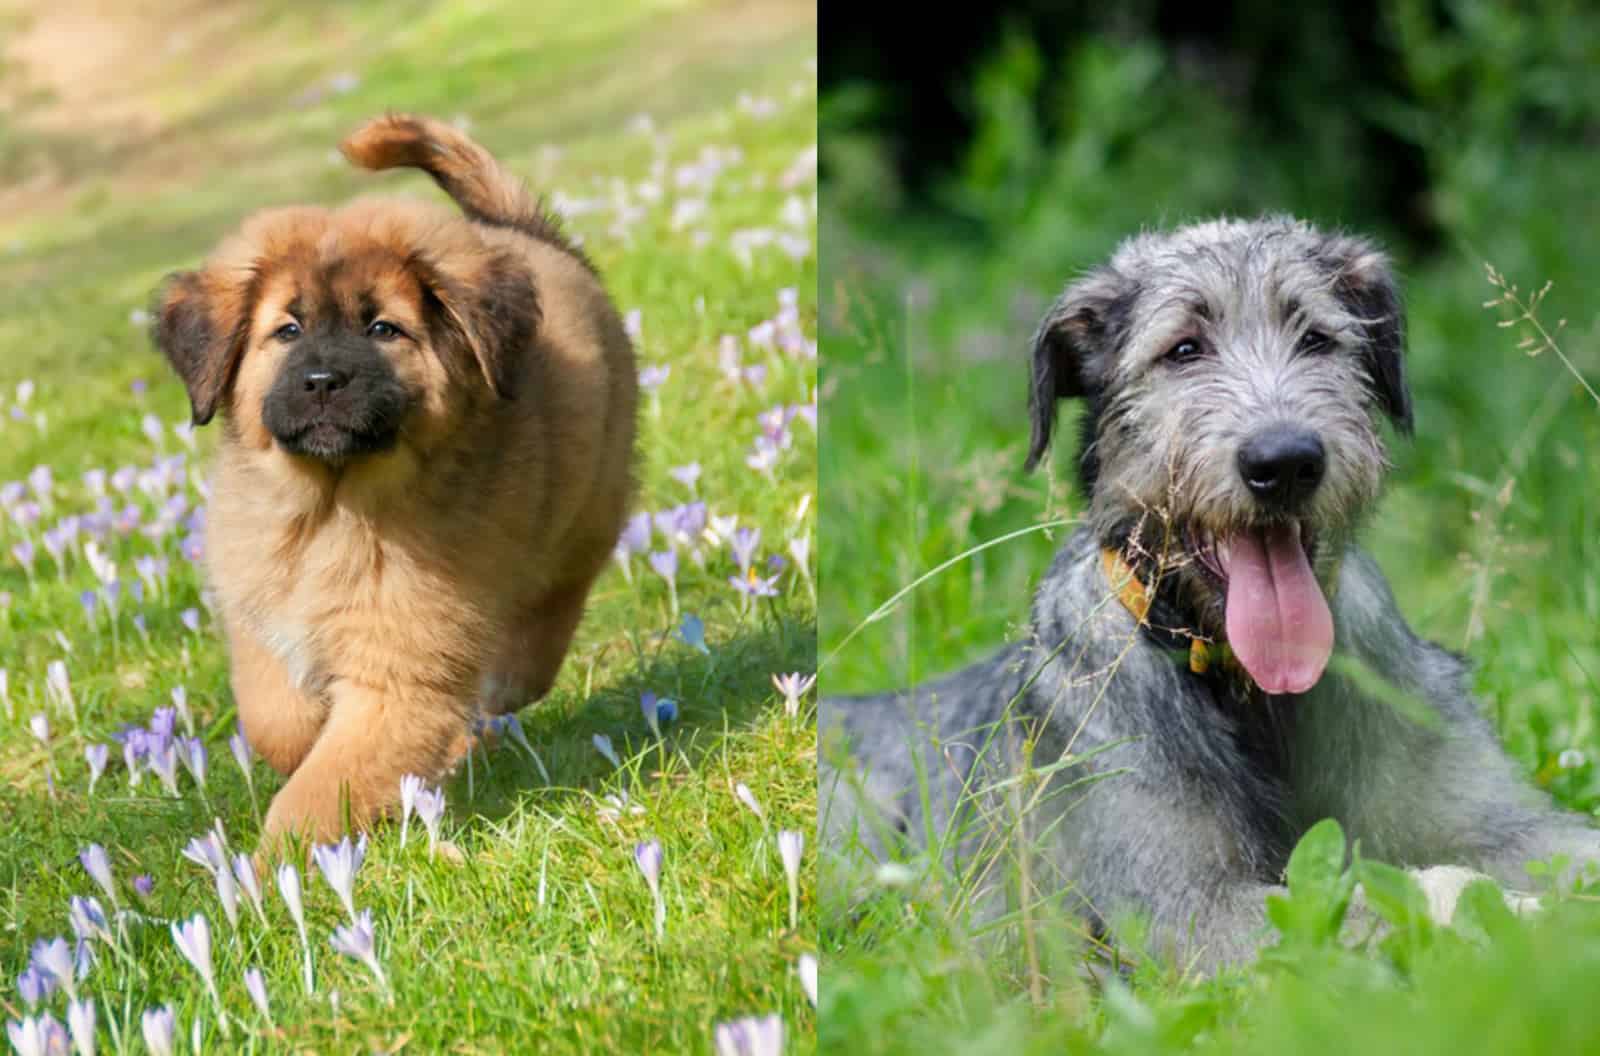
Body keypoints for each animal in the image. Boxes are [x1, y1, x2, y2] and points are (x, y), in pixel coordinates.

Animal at [154, 113, 636, 838]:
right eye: (287, 331)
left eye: (383, 329)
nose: (323, 380)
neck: (330, 508)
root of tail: (532, 235)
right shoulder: (261, 612)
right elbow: (276, 720)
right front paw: (301, 738)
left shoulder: (402, 672)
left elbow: (321, 789)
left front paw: (278, 863)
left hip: (581, 522)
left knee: (536, 634)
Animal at [825, 216, 1600, 972]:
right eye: (1184, 350)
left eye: (1316, 337)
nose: (1284, 462)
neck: (1251, 692)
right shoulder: (1186, 910)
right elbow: (1418, 899)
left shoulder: (1501, 822)